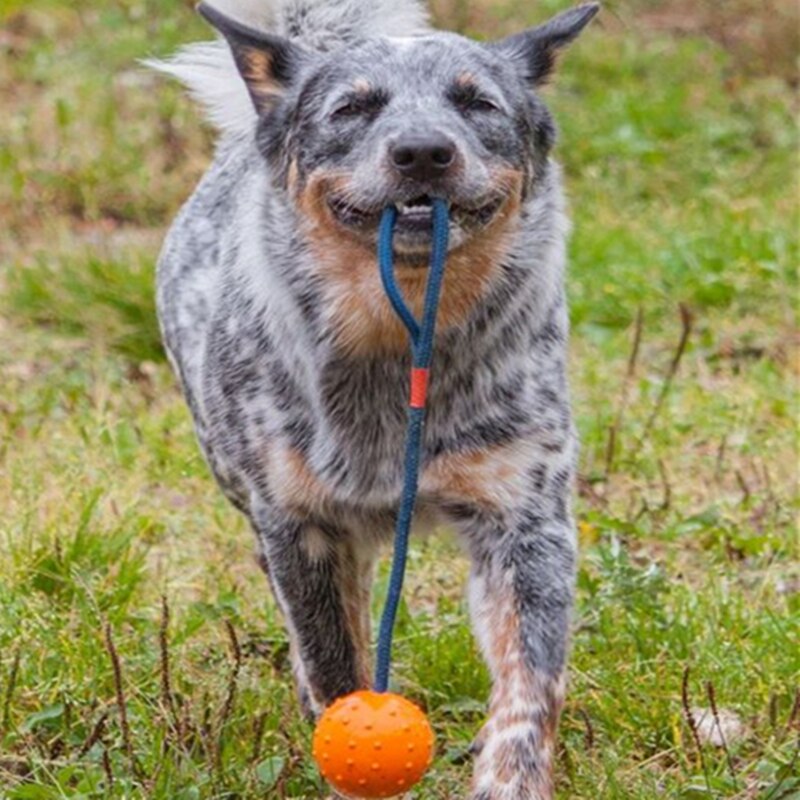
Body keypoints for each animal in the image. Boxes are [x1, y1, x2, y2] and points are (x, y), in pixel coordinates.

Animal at [150, 3, 600, 796]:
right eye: (352, 108)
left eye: (478, 102)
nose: (423, 152)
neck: (398, 348)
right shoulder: (300, 525)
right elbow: (336, 668)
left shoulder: (526, 516)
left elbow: (530, 685)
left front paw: (510, 775)